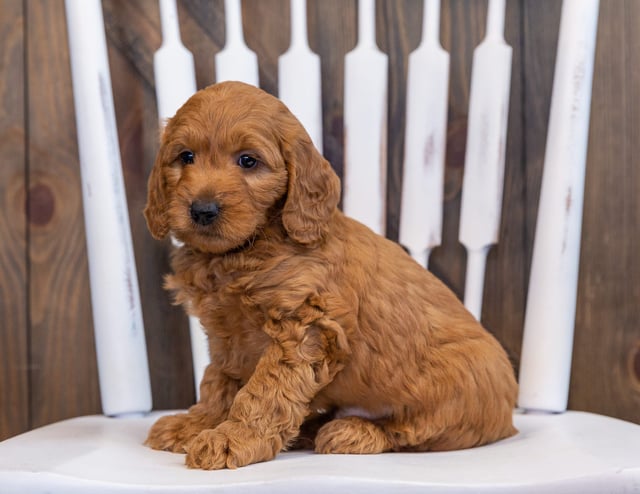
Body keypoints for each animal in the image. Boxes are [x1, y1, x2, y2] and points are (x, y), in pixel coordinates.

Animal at [142, 82, 516, 470]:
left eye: (248, 160)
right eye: (186, 157)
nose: (202, 210)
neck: (249, 247)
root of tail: (510, 414)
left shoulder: (303, 329)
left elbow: (264, 391)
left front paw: (232, 438)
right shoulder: (226, 336)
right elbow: (219, 381)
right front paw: (196, 423)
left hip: (454, 389)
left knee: (410, 431)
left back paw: (351, 431)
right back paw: (309, 428)